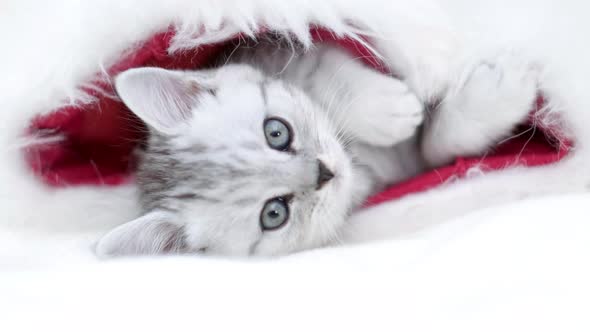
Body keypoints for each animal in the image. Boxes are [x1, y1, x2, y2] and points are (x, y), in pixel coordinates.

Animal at [95, 42, 540, 256]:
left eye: (276, 132)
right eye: (274, 214)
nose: (325, 172)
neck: (361, 162)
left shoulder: (285, 50)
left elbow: (327, 70)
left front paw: (388, 109)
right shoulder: (415, 166)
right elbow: (437, 149)